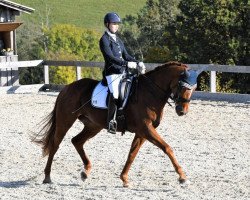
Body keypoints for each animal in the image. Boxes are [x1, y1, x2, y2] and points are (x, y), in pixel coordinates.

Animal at [33, 61, 198, 188]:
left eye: (194, 88)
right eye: (182, 86)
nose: (182, 111)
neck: (150, 93)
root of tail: (67, 88)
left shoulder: (142, 132)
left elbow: (132, 154)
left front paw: (124, 179)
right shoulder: (146, 129)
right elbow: (167, 148)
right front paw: (182, 177)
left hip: (94, 125)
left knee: (77, 141)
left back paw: (86, 172)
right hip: (65, 121)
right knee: (55, 145)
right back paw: (47, 176)